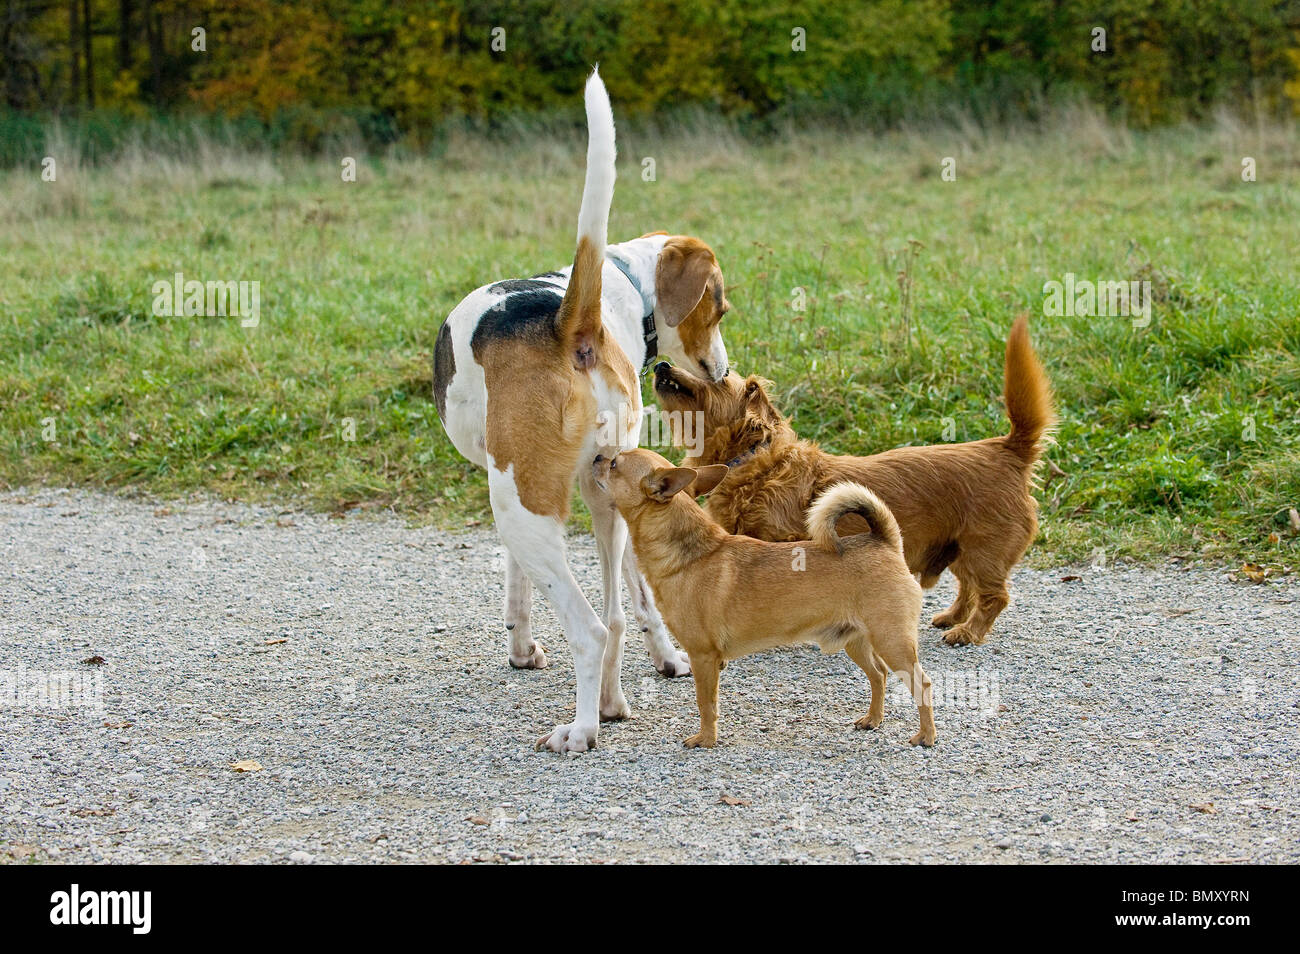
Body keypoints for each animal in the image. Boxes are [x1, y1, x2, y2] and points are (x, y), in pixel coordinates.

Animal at [590, 452, 935, 748]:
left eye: (615, 464)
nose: (596, 457)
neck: (690, 553)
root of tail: (884, 542)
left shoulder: (703, 658)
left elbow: (706, 703)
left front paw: (706, 739)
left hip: (892, 642)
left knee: (922, 684)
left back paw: (926, 736)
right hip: (857, 642)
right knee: (879, 675)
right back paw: (873, 719)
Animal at [660, 317, 1055, 647]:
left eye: (715, 372)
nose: (660, 364)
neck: (754, 463)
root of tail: (1007, 448)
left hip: (983, 552)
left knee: (993, 596)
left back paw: (968, 632)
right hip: (960, 550)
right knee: (968, 588)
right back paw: (952, 617)